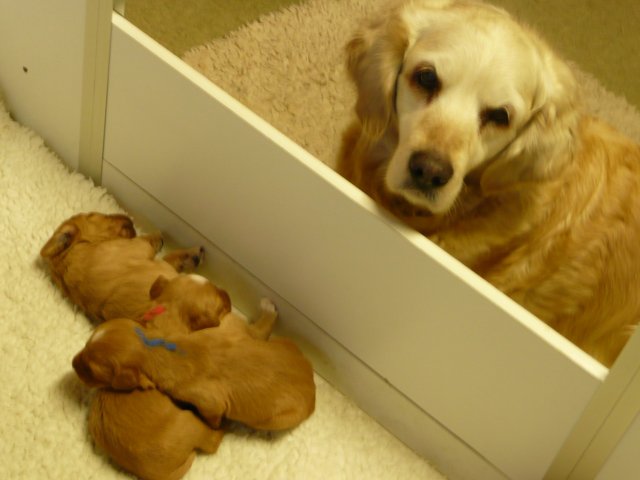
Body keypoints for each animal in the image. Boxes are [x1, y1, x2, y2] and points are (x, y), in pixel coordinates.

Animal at [73, 298, 316, 431]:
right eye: (86, 343)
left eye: (90, 370)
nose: (72, 363)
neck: (155, 349)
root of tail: (312, 385)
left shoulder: (209, 403)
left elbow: (213, 418)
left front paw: (220, 426)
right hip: (282, 342)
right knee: (258, 332)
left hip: (276, 419)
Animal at [80, 274, 231, 480]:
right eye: (217, 301)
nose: (228, 296)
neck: (167, 313)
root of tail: (158, 474)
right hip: (191, 424)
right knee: (212, 441)